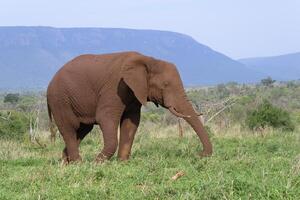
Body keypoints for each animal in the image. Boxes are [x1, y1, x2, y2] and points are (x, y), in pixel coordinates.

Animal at [47, 50, 212, 163]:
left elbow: (131, 122)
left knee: (82, 129)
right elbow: (105, 118)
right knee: (70, 128)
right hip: (60, 100)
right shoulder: (114, 88)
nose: (200, 155)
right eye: (165, 85)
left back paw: (65, 163)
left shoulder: (134, 93)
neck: (148, 60)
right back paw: (78, 164)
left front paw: (122, 162)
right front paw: (97, 163)